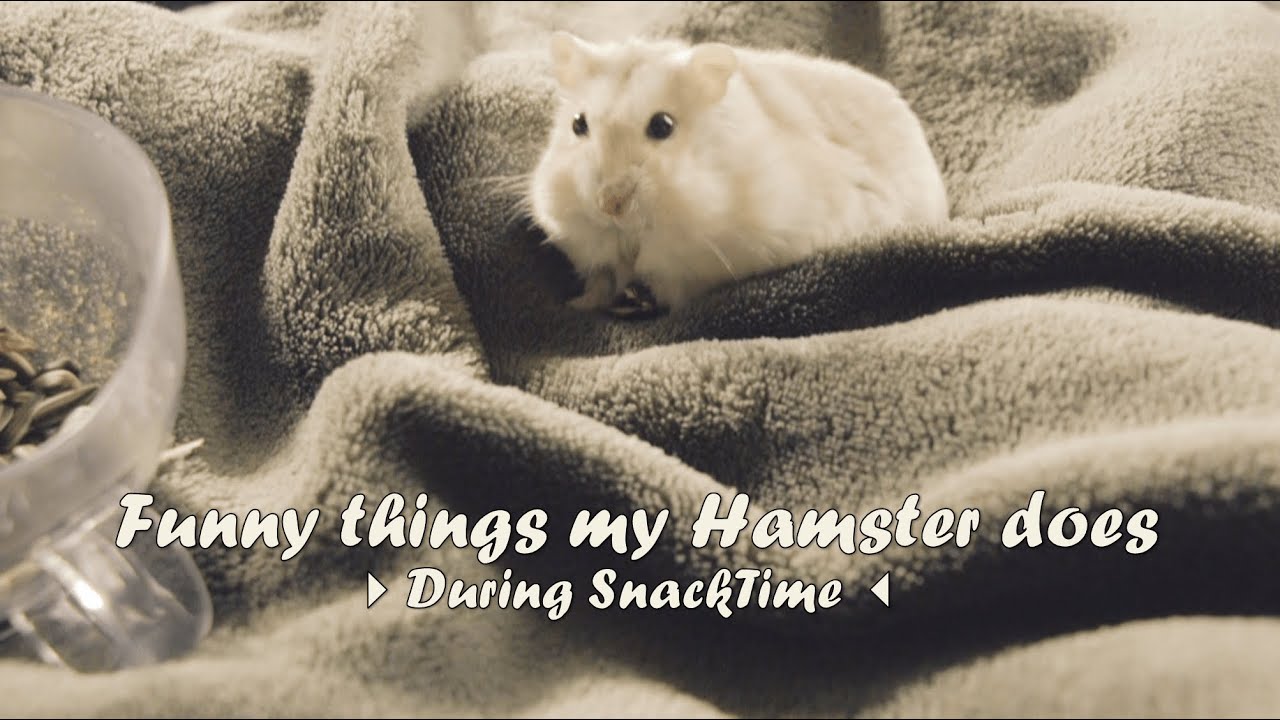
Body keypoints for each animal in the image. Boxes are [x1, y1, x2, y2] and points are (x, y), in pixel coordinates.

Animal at [528, 32, 950, 315]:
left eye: (663, 125)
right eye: (578, 124)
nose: (609, 204)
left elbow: (671, 284)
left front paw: (637, 297)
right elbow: (601, 279)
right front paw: (579, 303)